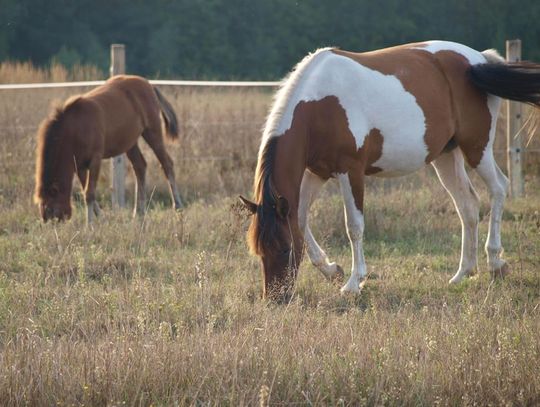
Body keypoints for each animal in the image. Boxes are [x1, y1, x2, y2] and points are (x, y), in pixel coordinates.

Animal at [35, 75, 185, 225]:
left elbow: (89, 193)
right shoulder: (79, 166)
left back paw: (178, 207)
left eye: (52, 210)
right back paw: (139, 213)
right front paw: (101, 218)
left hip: (152, 132)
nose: (55, 225)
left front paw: (90, 225)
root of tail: (149, 85)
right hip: (130, 143)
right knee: (140, 167)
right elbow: (85, 190)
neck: (75, 127)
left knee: (167, 164)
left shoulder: (95, 160)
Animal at [240, 40, 540, 302]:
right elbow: (301, 220)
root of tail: (479, 60)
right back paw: (462, 274)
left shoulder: (350, 171)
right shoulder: (318, 172)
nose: (275, 298)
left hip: (477, 148)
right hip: (446, 155)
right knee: (467, 205)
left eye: (285, 248)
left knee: (499, 187)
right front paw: (331, 270)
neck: (319, 105)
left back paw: (495, 262)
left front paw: (354, 283)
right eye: (259, 250)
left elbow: (354, 226)